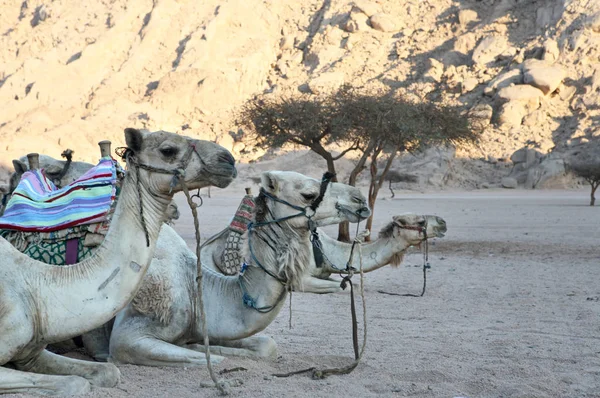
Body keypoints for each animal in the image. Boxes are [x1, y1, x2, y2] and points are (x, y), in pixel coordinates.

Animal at [0, 128, 237, 394]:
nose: (228, 160)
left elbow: (108, 373)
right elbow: (74, 383)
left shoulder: (31, 352)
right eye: (168, 150)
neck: (38, 288)